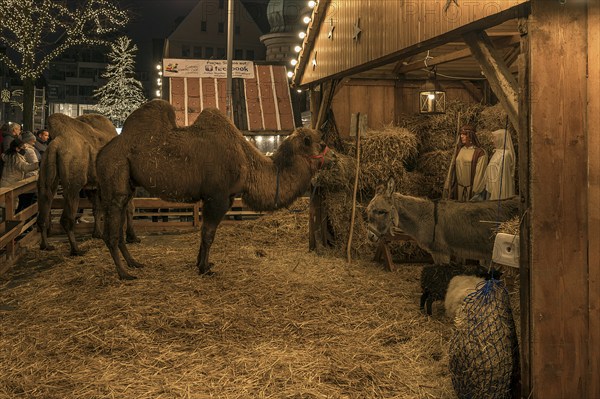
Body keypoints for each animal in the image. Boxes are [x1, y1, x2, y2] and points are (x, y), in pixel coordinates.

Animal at [37, 112, 139, 256]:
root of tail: (55, 145)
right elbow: (129, 208)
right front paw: (132, 237)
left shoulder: (94, 187)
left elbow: (97, 209)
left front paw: (97, 234)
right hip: (73, 181)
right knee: (67, 216)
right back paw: (76, 250)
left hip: (46, 164)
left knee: (45, 200)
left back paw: (45, 245)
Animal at [96, 100, 336, 282]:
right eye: (321, 144)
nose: (334, 157)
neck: (247, 163)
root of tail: (101, 153)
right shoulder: (217, 197)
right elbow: (208, 234)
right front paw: (205, 269)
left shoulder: (226, 198)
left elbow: (205, 233)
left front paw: (202, 263)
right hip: (114, 176)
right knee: (111, 231)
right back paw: (124, 274)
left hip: (128, 185)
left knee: (120, 226)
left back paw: (134, 263)